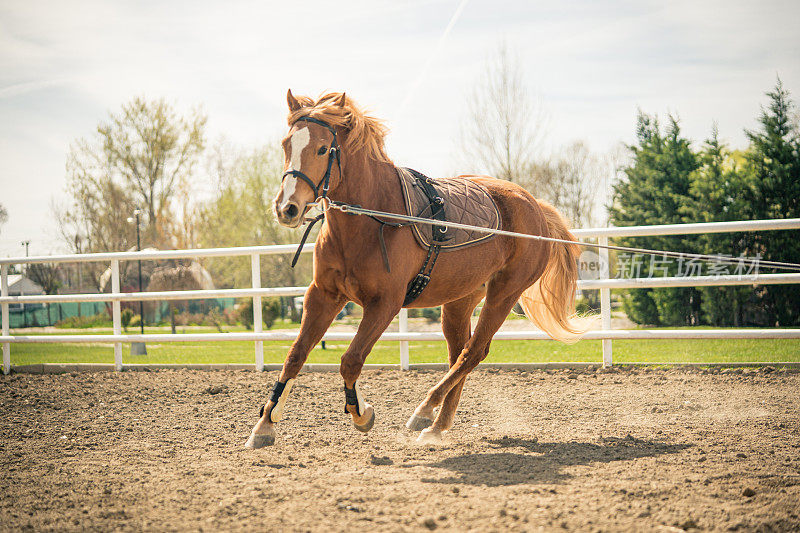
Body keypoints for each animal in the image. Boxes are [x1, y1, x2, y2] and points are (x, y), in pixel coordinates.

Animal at [247, 90, 592, 444]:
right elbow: (296, 354)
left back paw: (425, 410)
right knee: (460, 354)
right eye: (286, 145)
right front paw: (265, 424)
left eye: (321, 148)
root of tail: (535, 206)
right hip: (460, 301)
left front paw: (362, 414)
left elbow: (350, 360)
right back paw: (437, 426)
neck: (375, 217)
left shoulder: (384, 303)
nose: (287, 208)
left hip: (504, 295)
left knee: (473, 352)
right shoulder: (323, 295)